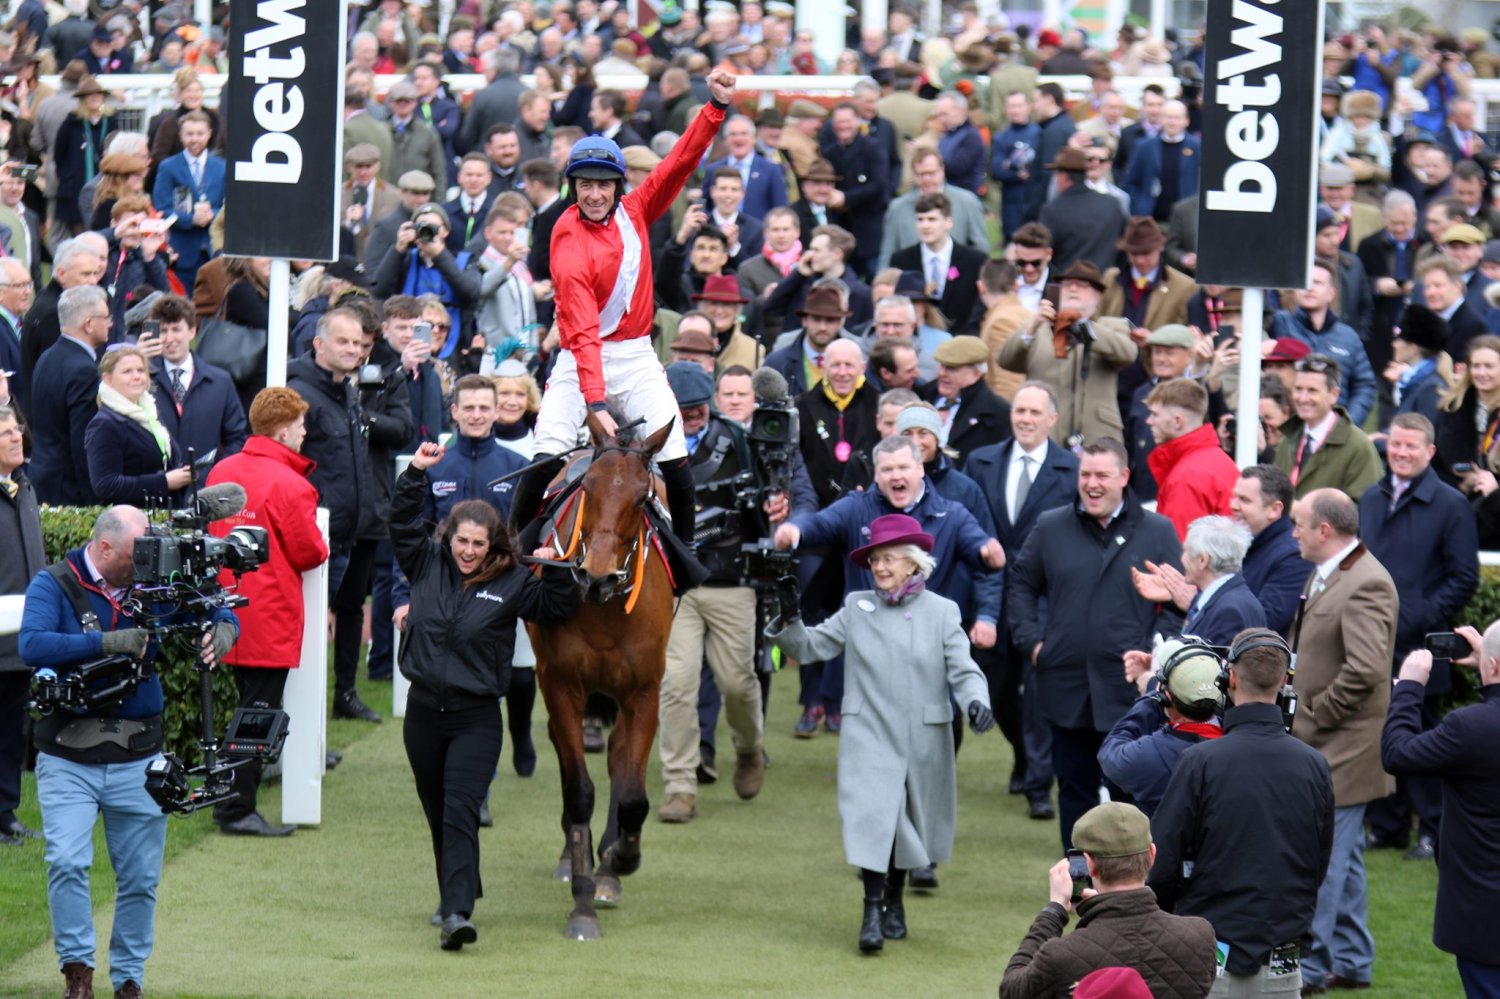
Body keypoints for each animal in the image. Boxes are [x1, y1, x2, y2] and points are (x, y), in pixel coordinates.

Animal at [526, 417, 677, 941]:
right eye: (588, 487)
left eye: (641, 497)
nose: (597, 577)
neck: (605, 610)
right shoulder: (560, 683)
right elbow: (579, 790)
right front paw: (582, 903)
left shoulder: (644, 690)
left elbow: (632, 795)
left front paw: (620, 858)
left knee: (617, 760)